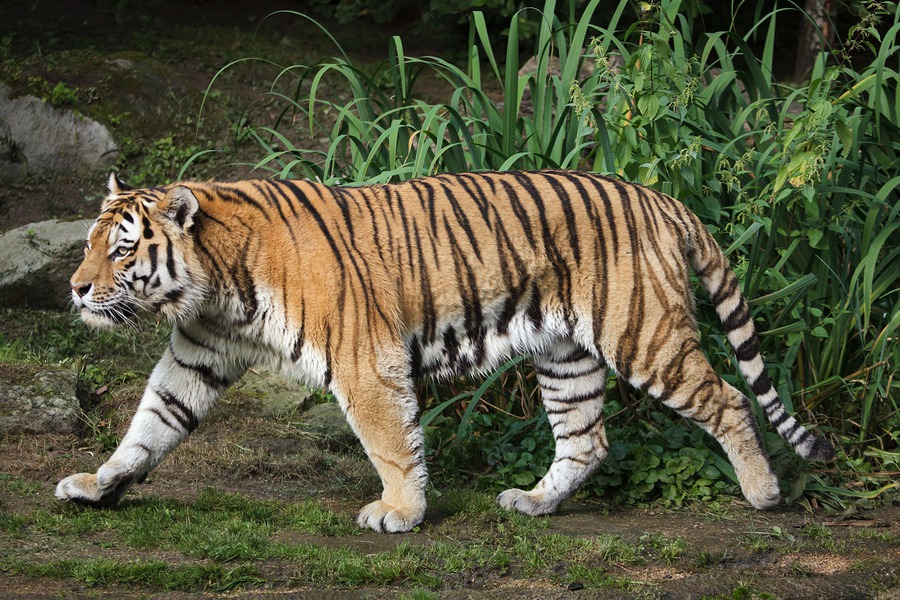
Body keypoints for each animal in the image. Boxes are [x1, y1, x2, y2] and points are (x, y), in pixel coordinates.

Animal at [58, 171, 836, 532]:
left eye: (121, 249)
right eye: (90, 243)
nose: (75, 288)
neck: (215, 285)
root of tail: (660, 198)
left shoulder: (364, 360)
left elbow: (390, 441)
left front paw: (399, 511)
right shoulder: (198, 354)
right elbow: (148, 424)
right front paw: (99, 484)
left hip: (644, 334)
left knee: (728, 399)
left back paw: (764, 493)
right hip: (565, 354)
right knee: (586, 439)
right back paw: (534, 502)